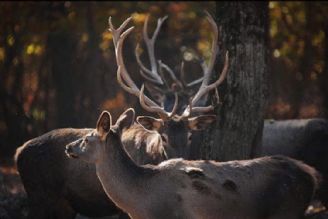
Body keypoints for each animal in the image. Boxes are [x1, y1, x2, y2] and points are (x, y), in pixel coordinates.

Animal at [66, 109, 320, 219]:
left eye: (87, 138)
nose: (68, 147)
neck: (140, 203)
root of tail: (310, 174)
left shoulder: (173, 216)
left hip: (286, 210)